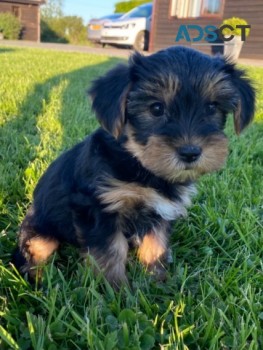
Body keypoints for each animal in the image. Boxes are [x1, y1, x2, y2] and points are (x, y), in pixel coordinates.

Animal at [12, 45, 256, 288]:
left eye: (212, 107)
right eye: (156, 108)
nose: (190, 152)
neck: (140, 165)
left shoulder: (162, 210)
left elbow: (156, 245)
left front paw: (156, 281)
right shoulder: (99, 208)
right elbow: (109, 251)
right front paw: (113, 289)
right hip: (41, 229)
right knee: (35, 250)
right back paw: (39, 278)